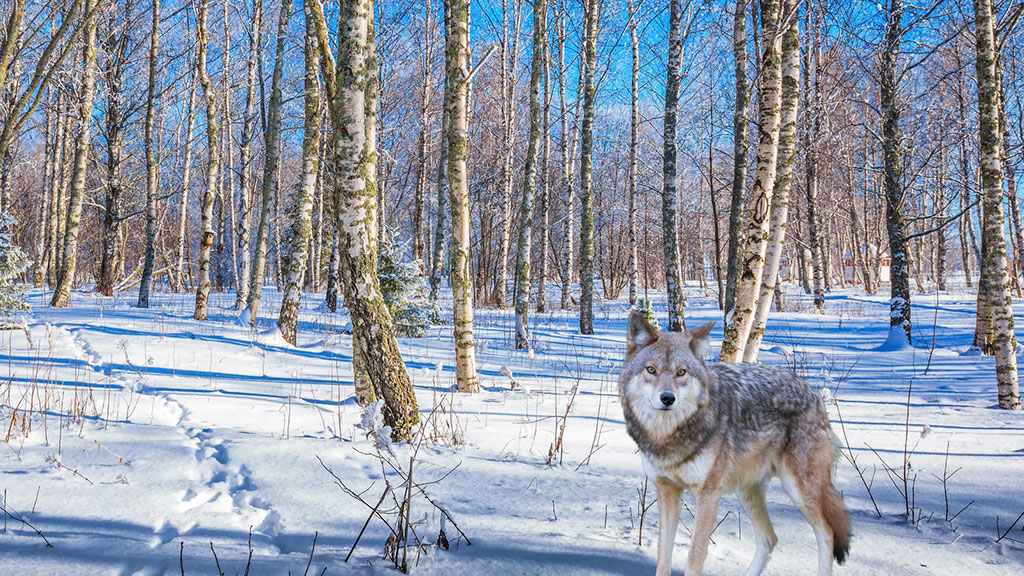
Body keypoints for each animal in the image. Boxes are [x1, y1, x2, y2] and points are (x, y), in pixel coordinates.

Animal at [618, 309, 851, 573]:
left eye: (681, 372)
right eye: (651, 370)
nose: (668, 398)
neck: (667, 437)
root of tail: (812, 392)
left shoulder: (708, 496)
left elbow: (694, 559)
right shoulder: (667, 491)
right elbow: (663, 559)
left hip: (799, 490)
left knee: (827, 533)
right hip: (747, 491)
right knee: (770, 538)